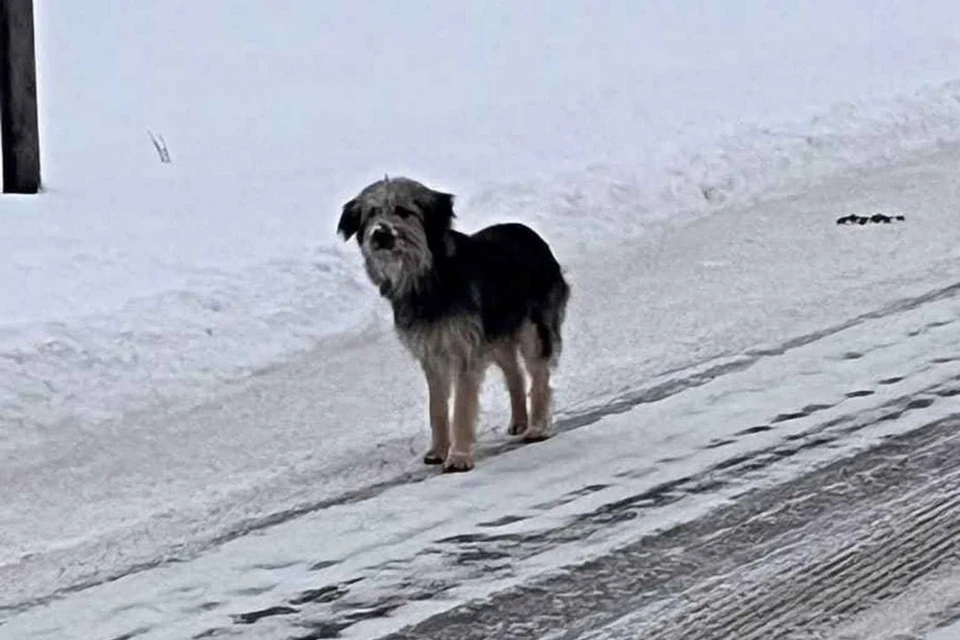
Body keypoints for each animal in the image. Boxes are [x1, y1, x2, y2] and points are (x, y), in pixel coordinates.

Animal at [336, 175, 568, 470]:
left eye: (402, 211)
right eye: (372, 213)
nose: (380, 233)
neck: (428, 277)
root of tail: (531, 234)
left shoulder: (464, 351)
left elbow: (461, 407)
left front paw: (458, 456)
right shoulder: (432, 355)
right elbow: (436, 407)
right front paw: (438, 450)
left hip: (533, 328)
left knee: (539, 375)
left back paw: (537, 426)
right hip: (496, 336)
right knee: (514, 372)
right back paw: (519, 420)